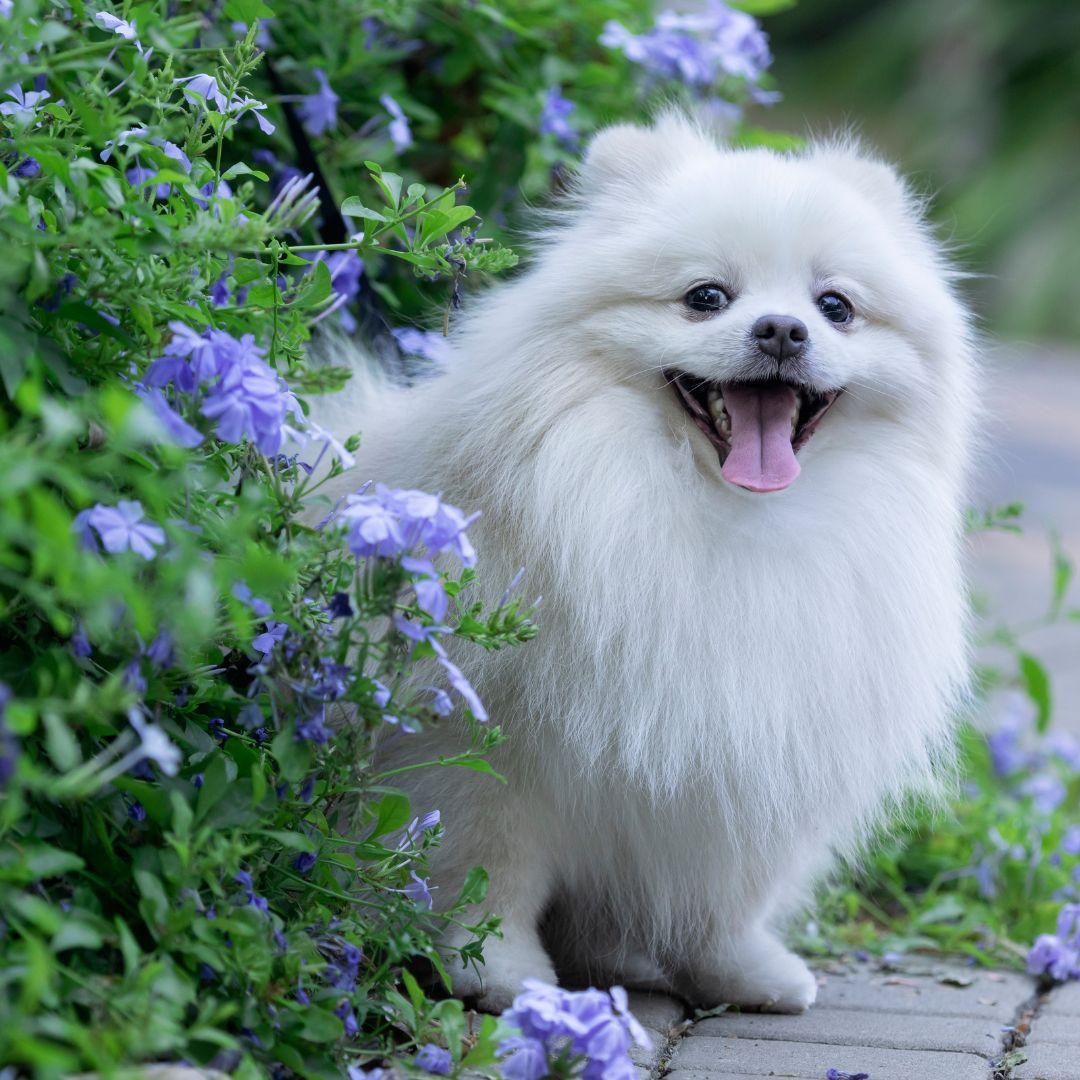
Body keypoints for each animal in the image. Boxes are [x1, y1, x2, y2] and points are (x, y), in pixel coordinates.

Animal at [315, 116, 976, 1010]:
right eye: (706, 297)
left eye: (835, 307)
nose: (782, 330)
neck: (721, 518)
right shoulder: (482, 747)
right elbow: (485, 873)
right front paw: (505, 976)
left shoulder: (754, 746)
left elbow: (726, 892)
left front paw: (740, 970)